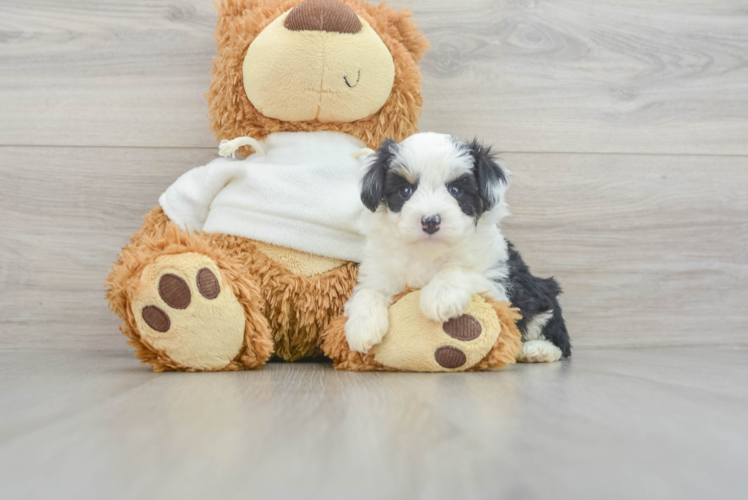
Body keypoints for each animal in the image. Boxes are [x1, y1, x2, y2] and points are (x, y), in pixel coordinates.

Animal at [346, 131, 572, 362]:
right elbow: (367, 291)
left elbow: (458, 269)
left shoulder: (498, 282)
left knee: (559, 339)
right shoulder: (381, 271)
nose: (430, 221)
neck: (428, 253)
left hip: (542, 294)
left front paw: (440, 296)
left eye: (455, 190)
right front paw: (361, 327)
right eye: (405, 191)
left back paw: (537, 350)